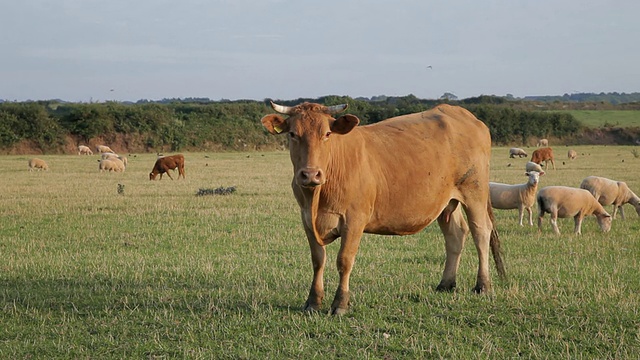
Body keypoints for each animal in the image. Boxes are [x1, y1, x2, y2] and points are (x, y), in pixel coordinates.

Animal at [260, 101, 504, 316]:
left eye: (327, 134)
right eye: (293, 134)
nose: (310, 174)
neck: (317, 197)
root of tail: (462, 113)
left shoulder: (354, 220)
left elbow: (344, 261)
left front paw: (340, 304)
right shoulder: (306, 220)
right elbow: (318, 260)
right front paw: (313, 302)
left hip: (475, 191)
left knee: (481, 232)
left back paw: (483, 285)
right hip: (446, 201)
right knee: (455, 234)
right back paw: (446, 283)